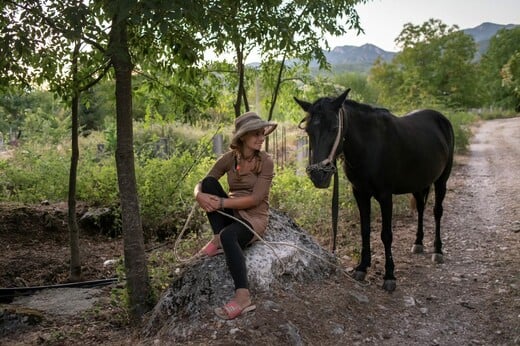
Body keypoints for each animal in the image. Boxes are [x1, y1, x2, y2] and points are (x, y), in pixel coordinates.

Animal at [294, 90, 452, 292]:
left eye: (334, 128)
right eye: (308, 131)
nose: (318, 175)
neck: (369, 146)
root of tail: (441, 119)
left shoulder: (385, 196)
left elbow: (386, 235)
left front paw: (389, 275)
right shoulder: (360, 193)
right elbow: (365, 230)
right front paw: (362, 267)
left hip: (441, 181)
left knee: (437, 212)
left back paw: (438, 250)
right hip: (418, 183)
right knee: (421, 208)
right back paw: (418, 243)